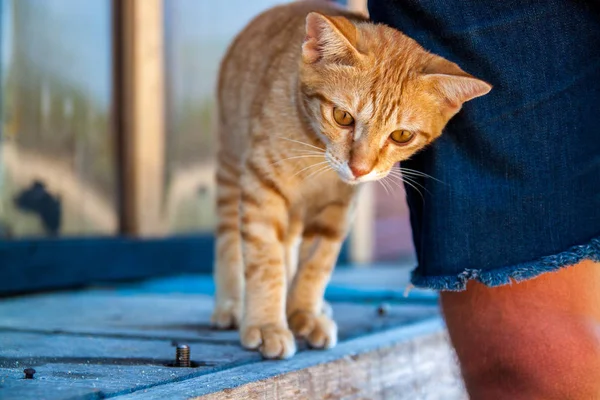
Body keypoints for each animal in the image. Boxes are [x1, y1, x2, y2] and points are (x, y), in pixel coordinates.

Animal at [213, 0, 490, 356]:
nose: (360, 169)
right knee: (230, 239)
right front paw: (266, 324)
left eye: (401, 136)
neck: (316, 155)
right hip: (231, 167)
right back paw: (232, 304)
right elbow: (265, 261)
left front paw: (303, 312)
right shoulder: (262, 188)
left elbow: (316, 264)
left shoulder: (338, 209)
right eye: (343, 117)